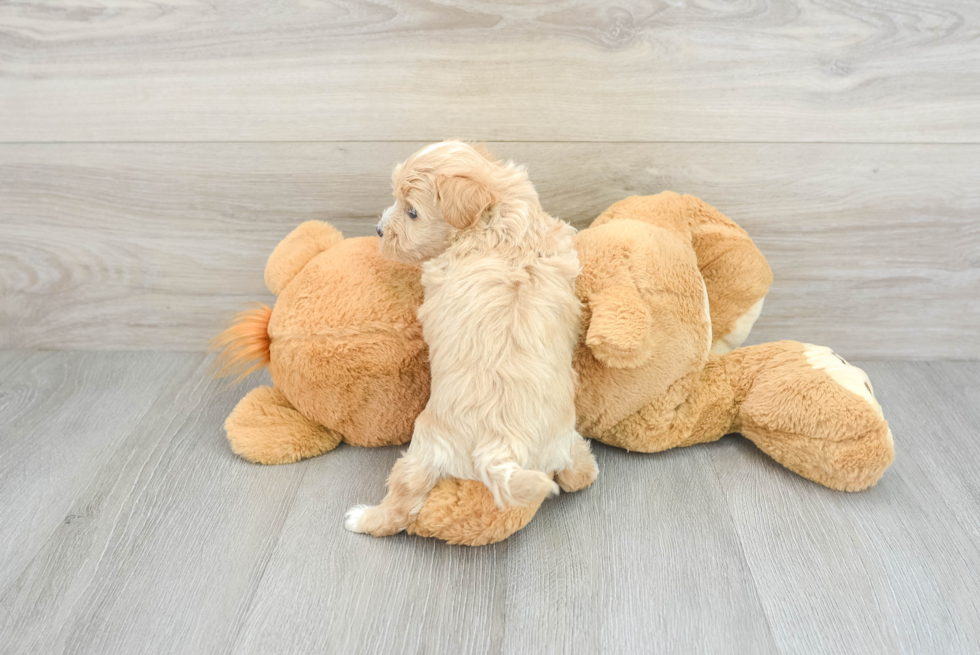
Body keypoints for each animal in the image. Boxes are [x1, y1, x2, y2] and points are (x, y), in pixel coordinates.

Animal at [348, 141, 600, 536]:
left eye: (412, 212)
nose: (377, 229)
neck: (498, 221)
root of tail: (503, 451)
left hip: (423, 450)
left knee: (402, 503)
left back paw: (362, 518)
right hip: (561, 440)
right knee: (577, 474)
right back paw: (584, 469)